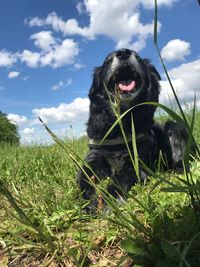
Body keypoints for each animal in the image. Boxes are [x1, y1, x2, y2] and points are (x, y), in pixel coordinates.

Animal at [77, 48, 189, 211]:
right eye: (107, 61)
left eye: (138, 57)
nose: (123, 52)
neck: (121, 123)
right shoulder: (94, 157)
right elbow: (84, 179)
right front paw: (88, 200)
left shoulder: (137, 162)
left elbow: (121, 179)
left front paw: (107, 200)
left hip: (174, 126)